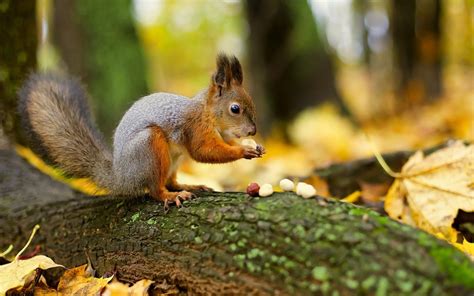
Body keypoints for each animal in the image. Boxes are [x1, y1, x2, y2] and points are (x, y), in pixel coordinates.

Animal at [19, 53, 262, 207]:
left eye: (252, 101)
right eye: (235, 109)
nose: (252, 131)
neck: (209, 114)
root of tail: (120, 177)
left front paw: (254, 147)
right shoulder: (195, 127)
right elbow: (204, 151)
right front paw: (244, 151)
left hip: (173, 159)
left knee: (170, 181)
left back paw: (190, 186)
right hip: (149, 148)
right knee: (155, 188)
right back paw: (170, 196)